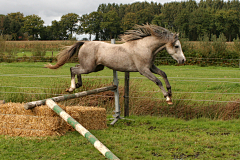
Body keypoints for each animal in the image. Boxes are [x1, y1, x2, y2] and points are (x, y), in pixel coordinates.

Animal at [46, 23, 186, 104]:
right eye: (177, 46)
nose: (183, 60)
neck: (145, 47)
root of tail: (85, 42)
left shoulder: (151, 67)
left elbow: (163, 74)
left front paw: (170, 92)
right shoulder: (144, 70)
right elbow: (157, 81)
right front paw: (167, 98)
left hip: (95, 67)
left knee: (75, 67)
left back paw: (78, 85)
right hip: (89, 68)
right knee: (72, 69)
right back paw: (71, 88)